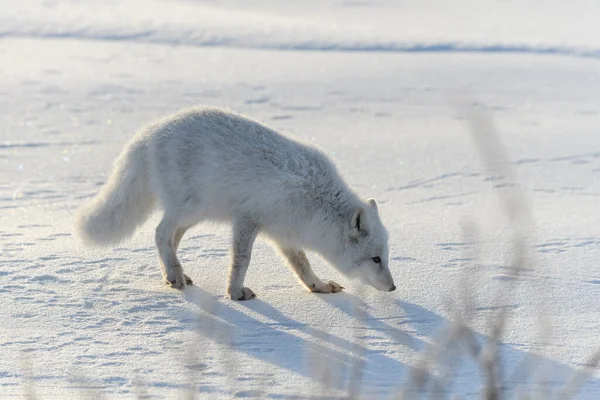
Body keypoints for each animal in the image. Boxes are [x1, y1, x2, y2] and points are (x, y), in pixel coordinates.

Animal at [75, 106, 396, 300]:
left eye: (385, 256)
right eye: (375, 259)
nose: (393, 287)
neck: (315, 201)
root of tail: (150, 131)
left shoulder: (284, 234)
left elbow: (302, 265)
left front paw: (318, 286)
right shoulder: (247, 218)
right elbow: (241, 260)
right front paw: (235, 292)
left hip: (195, 214)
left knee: (170, 239)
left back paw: (174, 274)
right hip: (189, 208)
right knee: (160, 233)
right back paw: (175, 275)